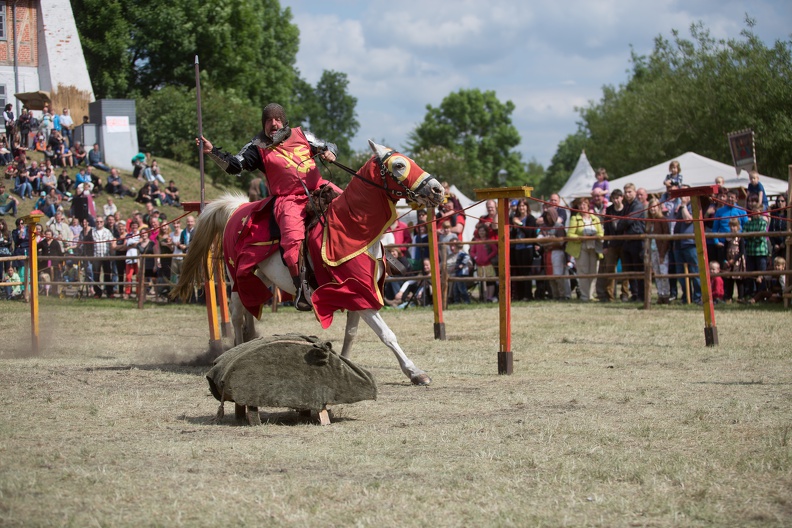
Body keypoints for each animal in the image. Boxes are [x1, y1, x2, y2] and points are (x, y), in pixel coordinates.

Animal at [174, 139, 446, 388]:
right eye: (399, 165)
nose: (437, 190)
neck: (351, 228)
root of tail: (237, 209)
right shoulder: (358, 292)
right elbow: (387, 335)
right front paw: (415, 372)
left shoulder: (359, 292)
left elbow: (351, 334)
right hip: (237, 279)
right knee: (237, 314)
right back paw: (235, 352)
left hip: (258, 278)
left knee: (250, 308)